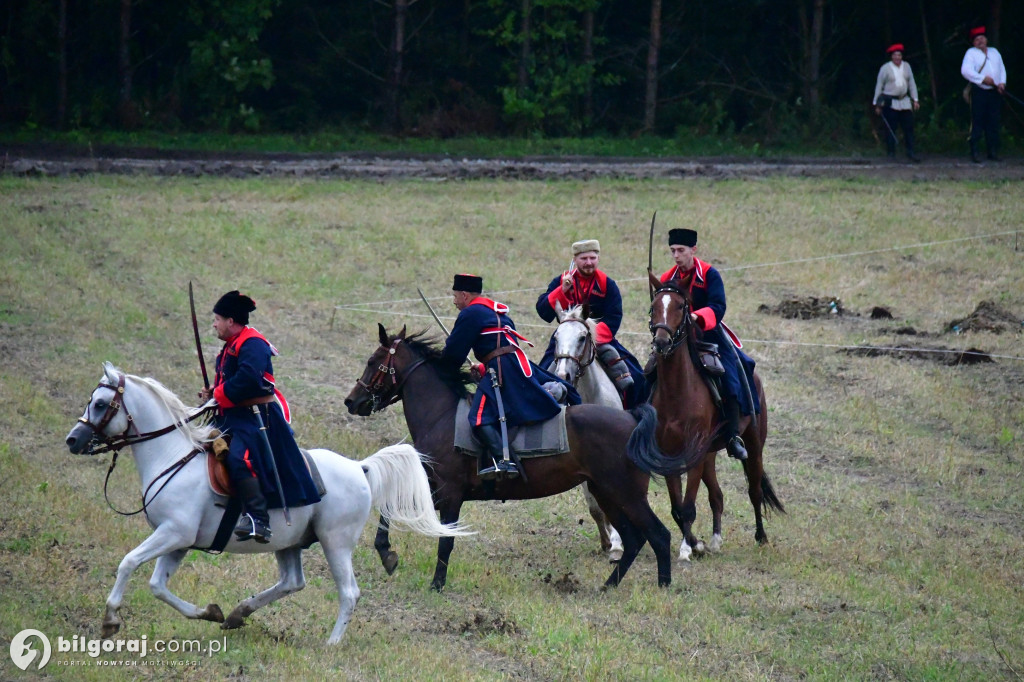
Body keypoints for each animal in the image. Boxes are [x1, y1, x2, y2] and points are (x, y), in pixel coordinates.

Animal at [59, 360, 468, 643]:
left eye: (100, 404)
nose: (73, 440)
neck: (173, 456)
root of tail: (359, 467)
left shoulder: (173, 534)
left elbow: (128, 563)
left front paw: (110, 620)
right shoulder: (178, 541)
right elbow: (159, 586)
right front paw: (209, 612)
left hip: (335, 543)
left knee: (348, 592)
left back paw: (331, 643)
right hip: (289, 542)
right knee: (292, 582)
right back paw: (238, 613)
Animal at [622, 274, 782, 561]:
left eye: (680, 306)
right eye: (653, 306)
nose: (661, 342)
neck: (678, 393)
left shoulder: (694, 454)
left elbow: (687, 506)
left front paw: (687, 550)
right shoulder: (670, 454)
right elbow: (677, 507)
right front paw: (695, 544)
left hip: (754, 444)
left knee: (754, 490)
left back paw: (761, 537)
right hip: (710, 453)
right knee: (717, 495)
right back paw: (715, 541)